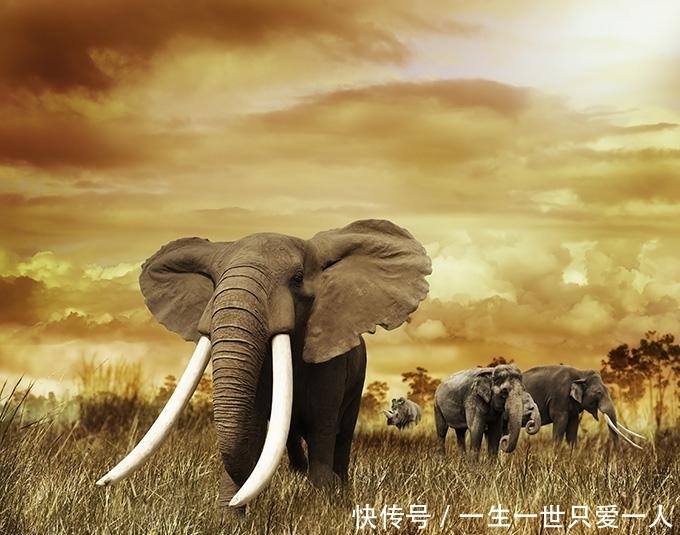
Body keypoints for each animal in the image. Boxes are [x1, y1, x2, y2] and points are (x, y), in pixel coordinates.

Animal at [96, 219, 431, 512]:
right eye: (214, 282)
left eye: (297, 278)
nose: (100, 485)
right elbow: (252, 425)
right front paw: (230, 519)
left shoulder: (332, 360)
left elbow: (323, 424)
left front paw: (323, 506)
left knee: (341, 431)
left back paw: (339, 486)